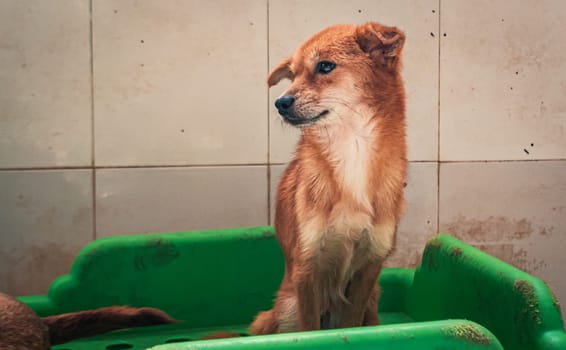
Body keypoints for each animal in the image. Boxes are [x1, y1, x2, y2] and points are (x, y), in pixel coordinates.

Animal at [251, 21, 406, 334]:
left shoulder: (368, 268)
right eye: (293, 75)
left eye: (325, 66)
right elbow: (310, 329)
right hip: (285, 308)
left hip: (374, 301)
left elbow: (351, 322)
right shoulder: (307, 268)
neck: (352, 148)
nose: (280, 102)